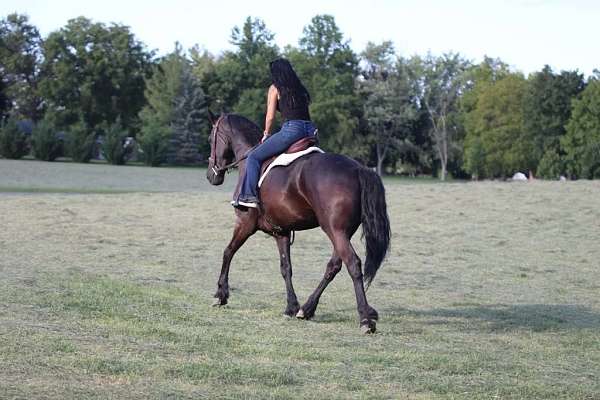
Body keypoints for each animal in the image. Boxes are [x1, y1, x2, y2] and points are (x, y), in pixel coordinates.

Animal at [206, 111, 392, 332]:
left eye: (210, 139)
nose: (211, 176)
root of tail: (358, 169)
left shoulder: (245, 224)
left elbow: (228, 252)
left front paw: (220, 294)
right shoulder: (281, 232)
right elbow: (286, 267)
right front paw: (291, 306)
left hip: (335, 231)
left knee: (353, 264)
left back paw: (364, 318)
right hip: (342, 232)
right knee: (333, 266)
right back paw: (307, 308)